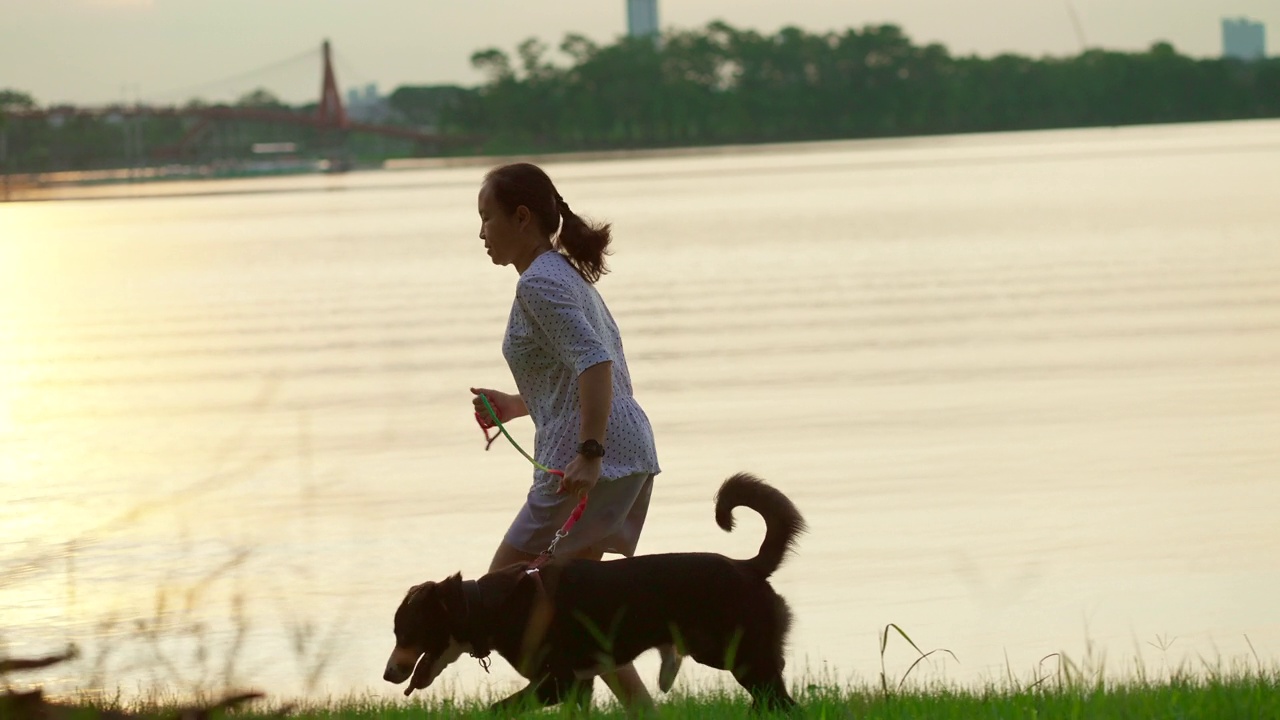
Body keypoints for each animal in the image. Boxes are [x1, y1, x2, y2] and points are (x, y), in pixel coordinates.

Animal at [378, 471, 803, 712]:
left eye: (407, 632)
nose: (387, 674)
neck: (488, 607)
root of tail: (747, 565)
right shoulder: (579, 685)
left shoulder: (557, 682)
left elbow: (498, 709)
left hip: (741, 655)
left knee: (781, 702)